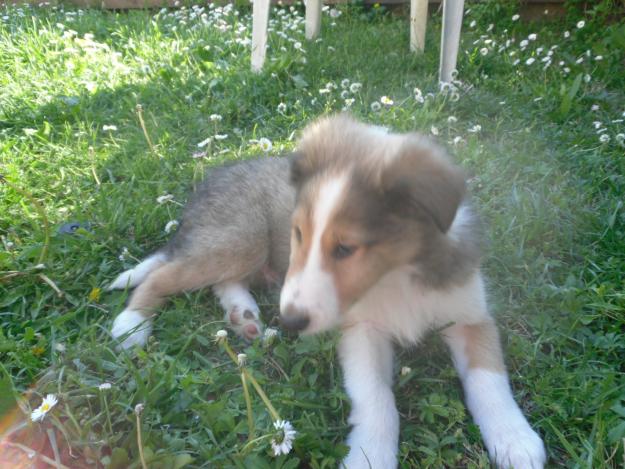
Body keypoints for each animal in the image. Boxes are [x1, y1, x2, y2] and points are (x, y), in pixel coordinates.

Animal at [109, 114, 544, 468]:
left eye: (346, 248)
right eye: (298, 233)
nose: (290, 322)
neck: (396, 275)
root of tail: (210, 179)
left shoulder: (471, 317)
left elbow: (489, 380)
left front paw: (515, 440)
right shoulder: (362, 332)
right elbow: (376, 399)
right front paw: (370, 456)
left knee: (220, 281)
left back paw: (243, 316)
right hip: (239, 240)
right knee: (164, 275)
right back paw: (131, 324)